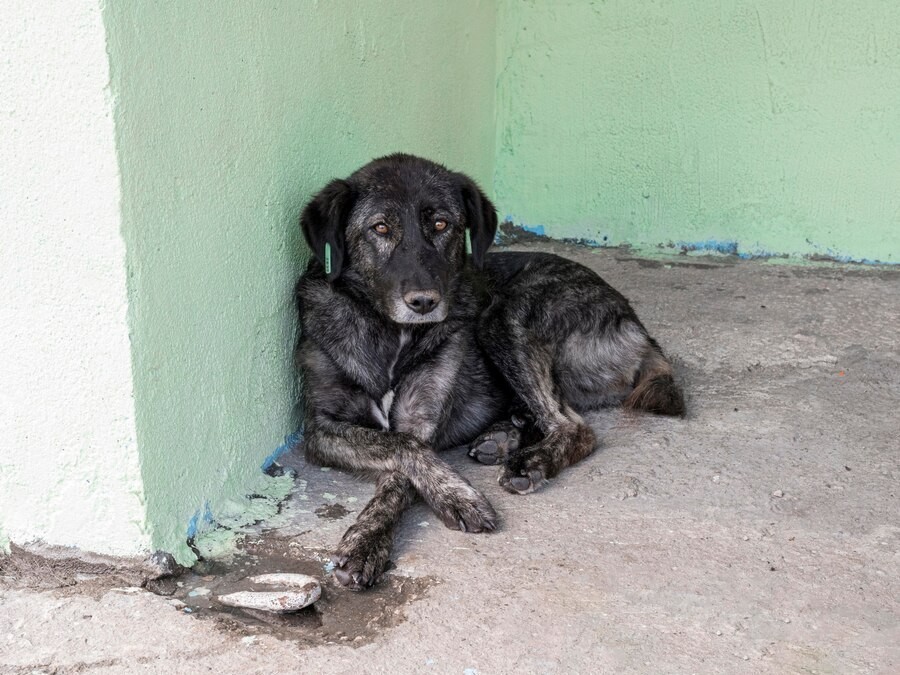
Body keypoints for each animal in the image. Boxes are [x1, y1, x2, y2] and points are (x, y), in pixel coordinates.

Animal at [296, 152, 684, 588]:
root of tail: (639, 327)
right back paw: (503, 436)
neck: (391, 333)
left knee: (573, 426)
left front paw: (380, 534)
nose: (425, 302)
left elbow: (403, 460)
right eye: (380, 227)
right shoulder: (320, 428)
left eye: (442, 225)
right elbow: (399, 449)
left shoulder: (419, 421)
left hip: (503, 315)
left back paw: (531, 459)